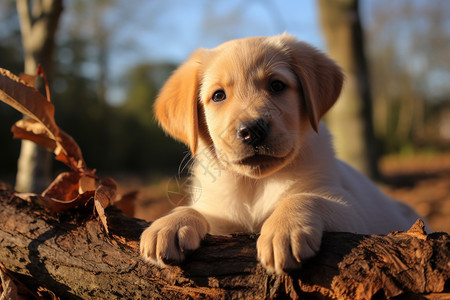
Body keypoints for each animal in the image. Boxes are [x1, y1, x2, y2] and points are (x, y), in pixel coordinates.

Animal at [141, 34, 422, 274]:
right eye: (218, 95)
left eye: (277, 85)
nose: (252, 130)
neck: (254, 186)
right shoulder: (222, 218)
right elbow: (197, 210)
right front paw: (169, 224)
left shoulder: (352, 211)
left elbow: (303, 197)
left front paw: (283, 230)